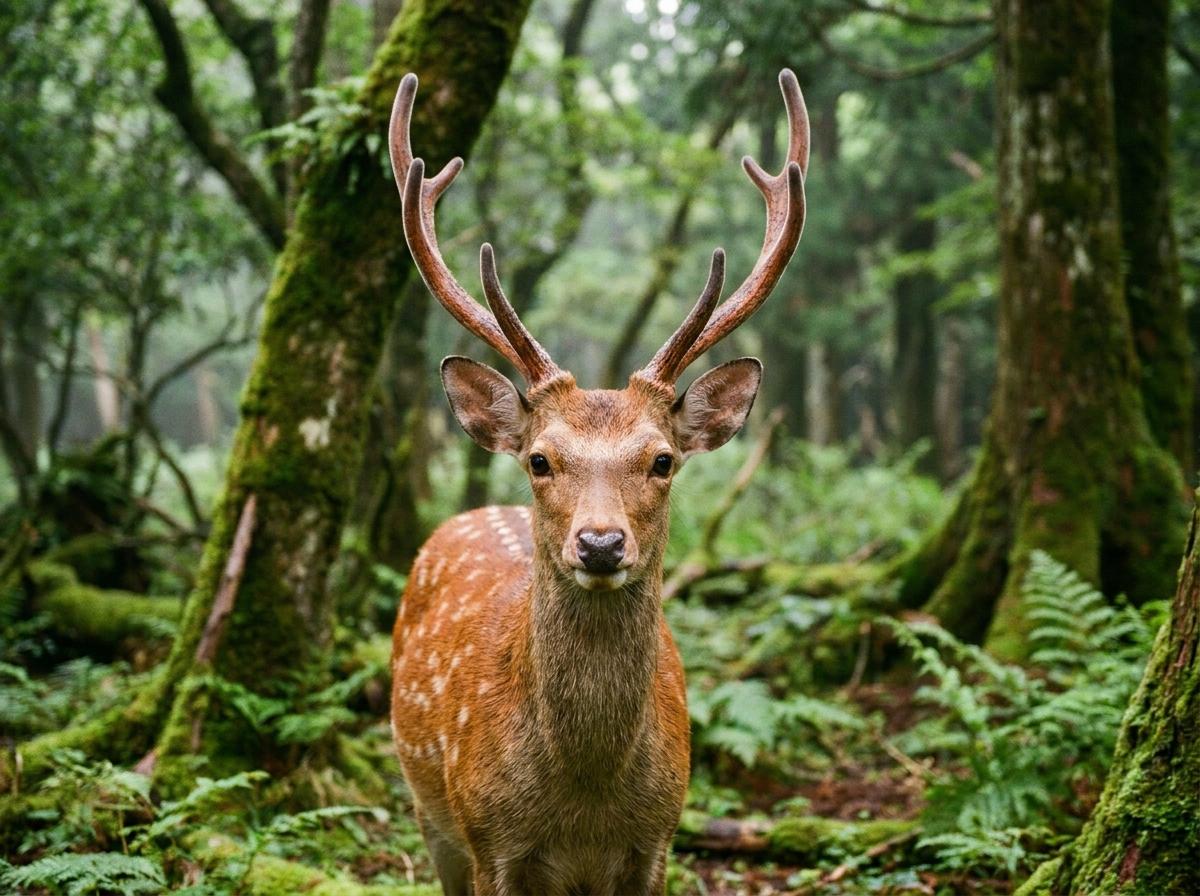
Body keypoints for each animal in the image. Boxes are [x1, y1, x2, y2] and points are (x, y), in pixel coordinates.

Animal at [387, 67, 808, 896]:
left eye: (663, 459)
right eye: (540, 459)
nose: (602, 544)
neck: (584, 802)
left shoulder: (659, 838)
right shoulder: (490, 843)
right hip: (430, 810)